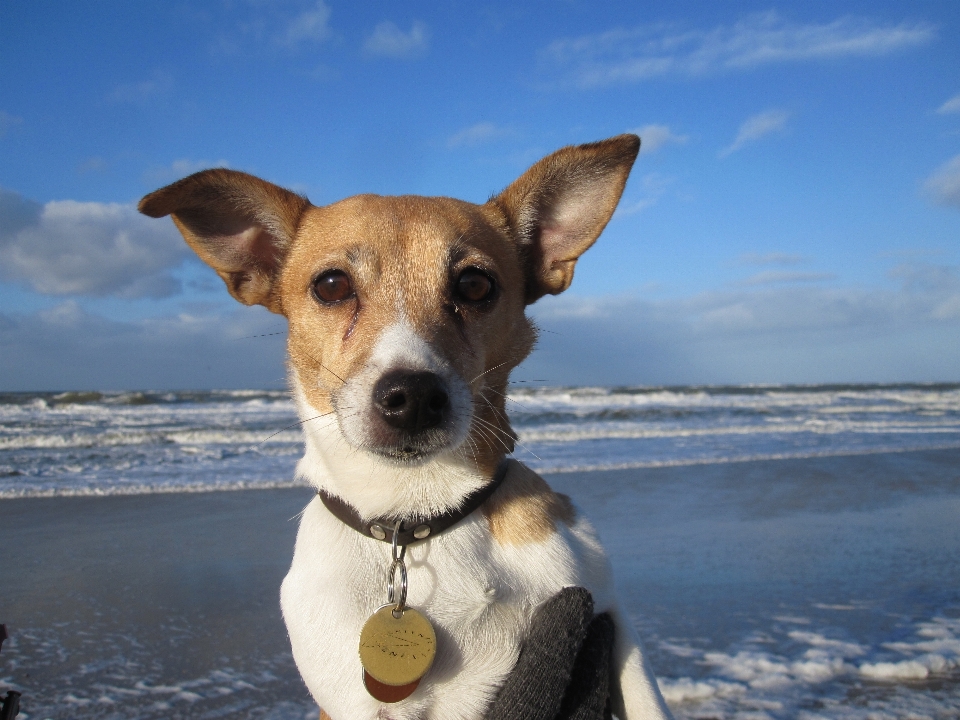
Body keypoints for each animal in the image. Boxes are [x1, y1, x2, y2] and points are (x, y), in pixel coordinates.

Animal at [139, 136, 672, 720]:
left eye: (475, 284)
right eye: (331, 286)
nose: (413, 398)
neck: (418, 512)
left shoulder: (609, 614)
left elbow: (645, 698)